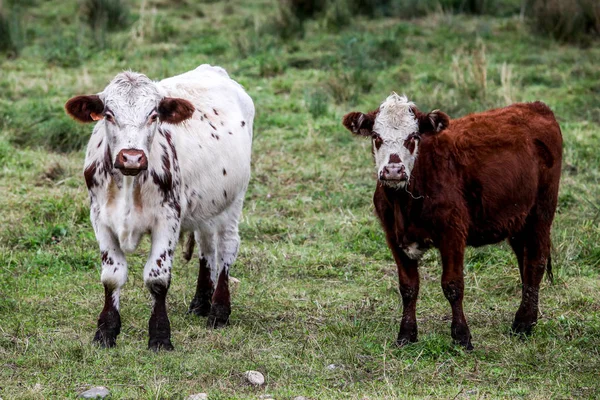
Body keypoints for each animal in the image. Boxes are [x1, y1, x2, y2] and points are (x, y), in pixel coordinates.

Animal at [65, 63, 253, 350]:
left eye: (153, 115)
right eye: (108, 114)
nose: (132, 157)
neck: (129, 183)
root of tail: (213, 69)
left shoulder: (168, 219)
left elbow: (157, 278)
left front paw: (160, 336)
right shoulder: (100, 218)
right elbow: (112, 275)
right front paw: (106, 332)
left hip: (234, 199)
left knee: (227, 246)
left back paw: (219, 311)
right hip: (205, 206)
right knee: (206, 245)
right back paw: (200, 303)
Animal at [342, 92, 564, 348]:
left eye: (414, 136)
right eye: (376, 137)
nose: (394, 170)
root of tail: (536, 106)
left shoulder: (453, 232)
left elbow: (452, 285)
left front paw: (461, 336)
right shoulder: (393, 236)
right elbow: (408, 287)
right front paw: (406, 335)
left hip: (542, 212)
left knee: (536, 262)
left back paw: (523, 324)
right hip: (519, 219)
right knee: (525, 262)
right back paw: (527, 318)